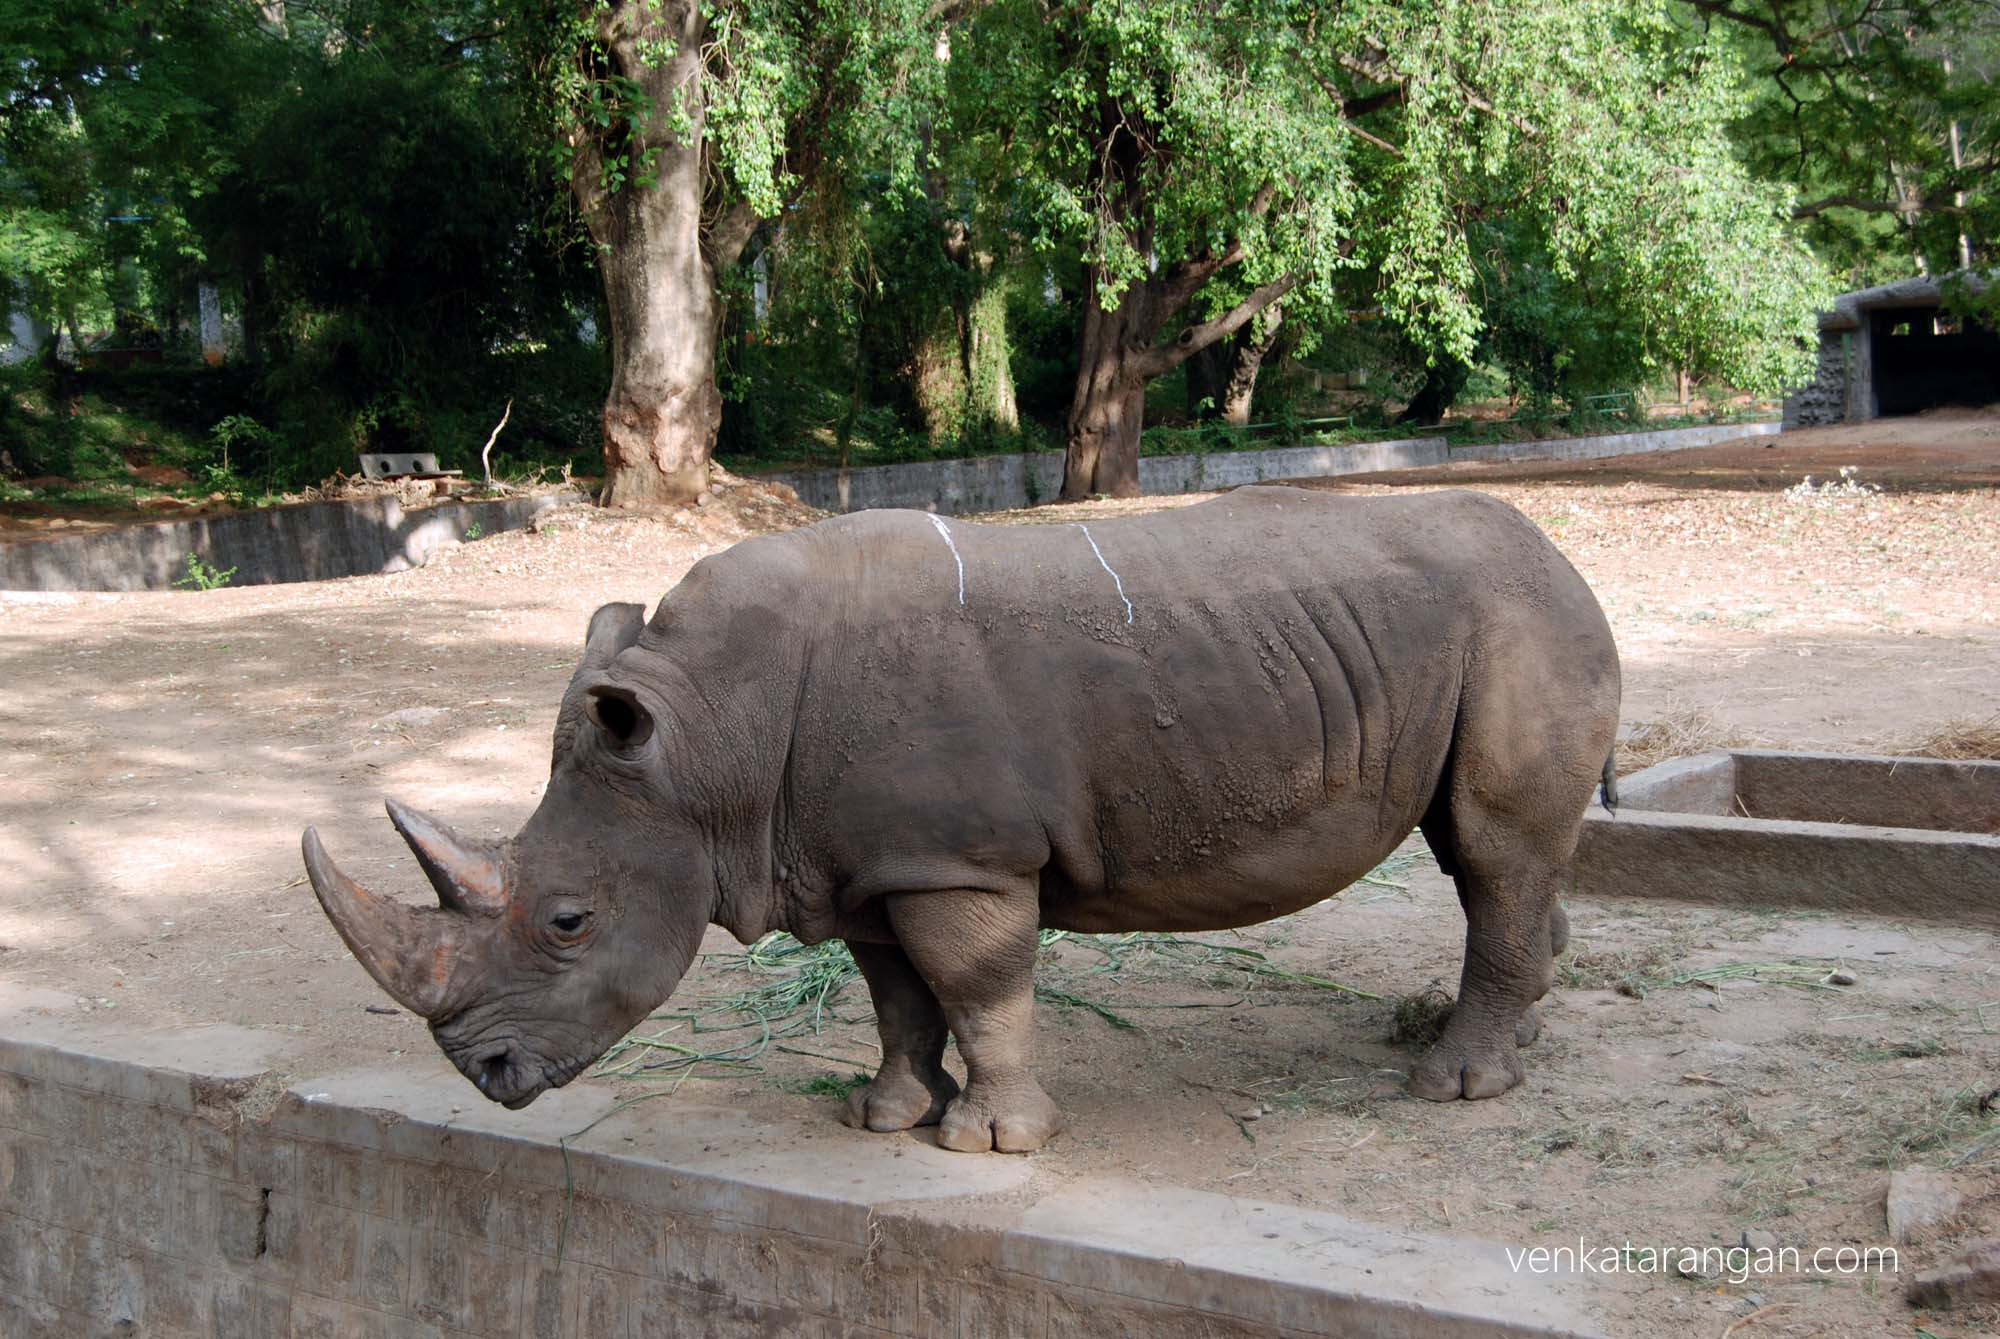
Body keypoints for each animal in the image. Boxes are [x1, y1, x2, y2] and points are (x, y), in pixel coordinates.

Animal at [303, 486, 1620, 1153]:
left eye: (568, 921)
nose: (486, 1076)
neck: (708, 738)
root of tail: (1560, 551)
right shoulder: (865, 858)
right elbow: (896, 991)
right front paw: (881, 1114)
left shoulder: (957, 859)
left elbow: (979, 987)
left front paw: (987, 1144)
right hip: (1480, 627)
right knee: (1481, 856)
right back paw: (1488, 1035)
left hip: (1521, 618)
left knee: (1492, 850)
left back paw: (1451, 1087)